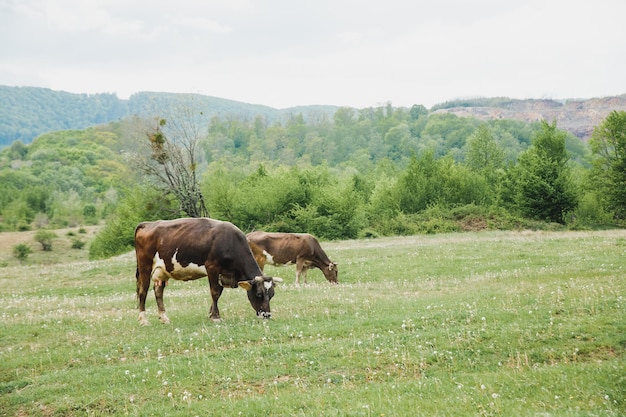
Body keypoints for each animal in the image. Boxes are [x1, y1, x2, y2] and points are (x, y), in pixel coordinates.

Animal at [137, 218, 286, 324]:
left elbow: (219, 292)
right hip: (145, 267)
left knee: (158, 291)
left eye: (272, 294)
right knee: (143, 291)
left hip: (162, 270)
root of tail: (147, 224)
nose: (267, 315)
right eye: (259, 294)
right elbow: (214, 292)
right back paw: (144, 320)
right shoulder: (212, 267)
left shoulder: (223, 274)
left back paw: (164, 318)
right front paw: (215, 317)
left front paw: (211, 314)